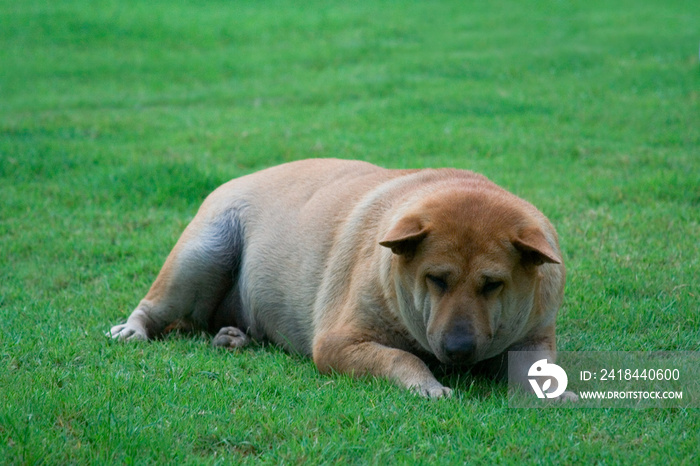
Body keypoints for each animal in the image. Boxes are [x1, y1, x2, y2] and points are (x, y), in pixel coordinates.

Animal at [108, 158, 568, 398]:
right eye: (436, 279)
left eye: (492, 284)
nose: (458, 348)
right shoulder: (338, 343)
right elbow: (402, 357)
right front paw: (428, 385)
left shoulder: (533, 333)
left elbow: (538, 366)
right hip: (202, 253)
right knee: (158, 305)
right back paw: (134, 328)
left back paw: (236, 336)